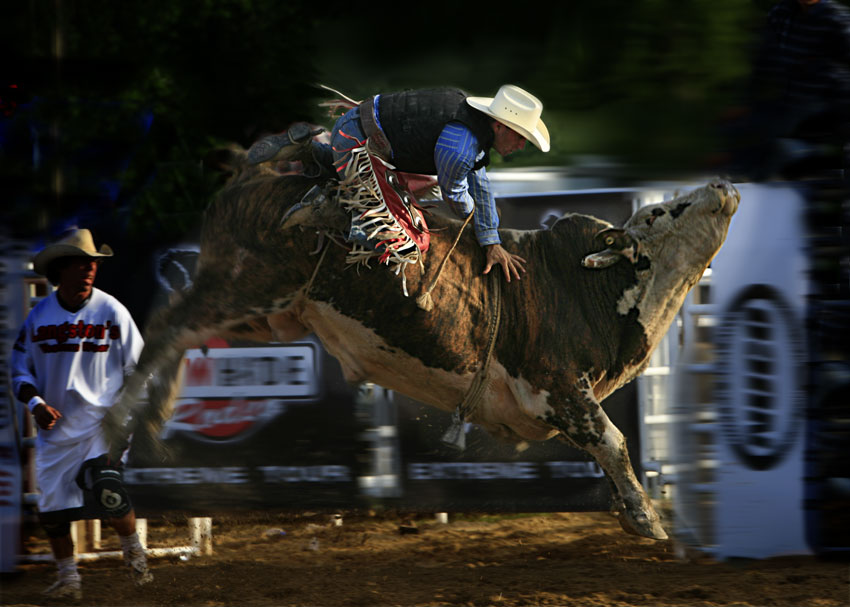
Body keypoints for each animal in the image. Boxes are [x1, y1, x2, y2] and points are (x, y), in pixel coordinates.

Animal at [104, 142, 736, 540]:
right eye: (659, 212)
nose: (724, 183)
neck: (587, 286)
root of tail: (253, 172)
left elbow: (606, 448)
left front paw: (630, 512)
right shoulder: (559, 387)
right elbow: (614, 442)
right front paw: (646, 519)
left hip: (269, 311)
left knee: (180, 339)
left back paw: (149, 423)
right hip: (244, 283)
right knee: (166, 328)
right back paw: (119, 428)